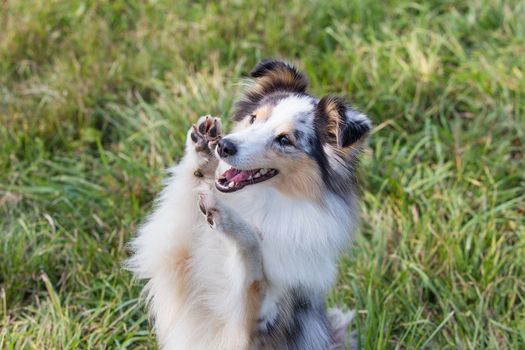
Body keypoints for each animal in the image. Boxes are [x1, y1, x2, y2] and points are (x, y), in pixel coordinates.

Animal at [127, 58, 370, 348]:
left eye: (285, 140)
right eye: (254, 118)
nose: (223, 146)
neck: (259, 202)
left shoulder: (251, 327)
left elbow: (252, 260)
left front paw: (225, 216)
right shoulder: (172, 260)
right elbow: (184, 202)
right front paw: (202, 151)